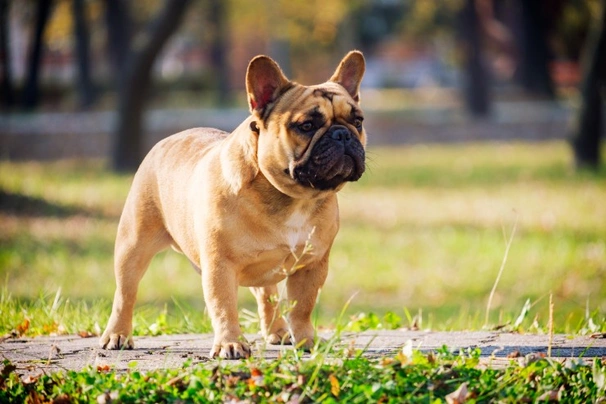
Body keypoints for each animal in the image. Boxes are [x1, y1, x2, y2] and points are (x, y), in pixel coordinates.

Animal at [100, 51, 368, 360]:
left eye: (358, 121)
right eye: (306, 126)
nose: (342, 134)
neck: (294, 197)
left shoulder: (311, 265)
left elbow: (302, 307)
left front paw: (305, 341)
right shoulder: (220, 265)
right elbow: (224, 305)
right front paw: (230, 344)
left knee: (267, 295)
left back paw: (278, 332)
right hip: (133, 246)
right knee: (125, 293)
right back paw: (117, 335)